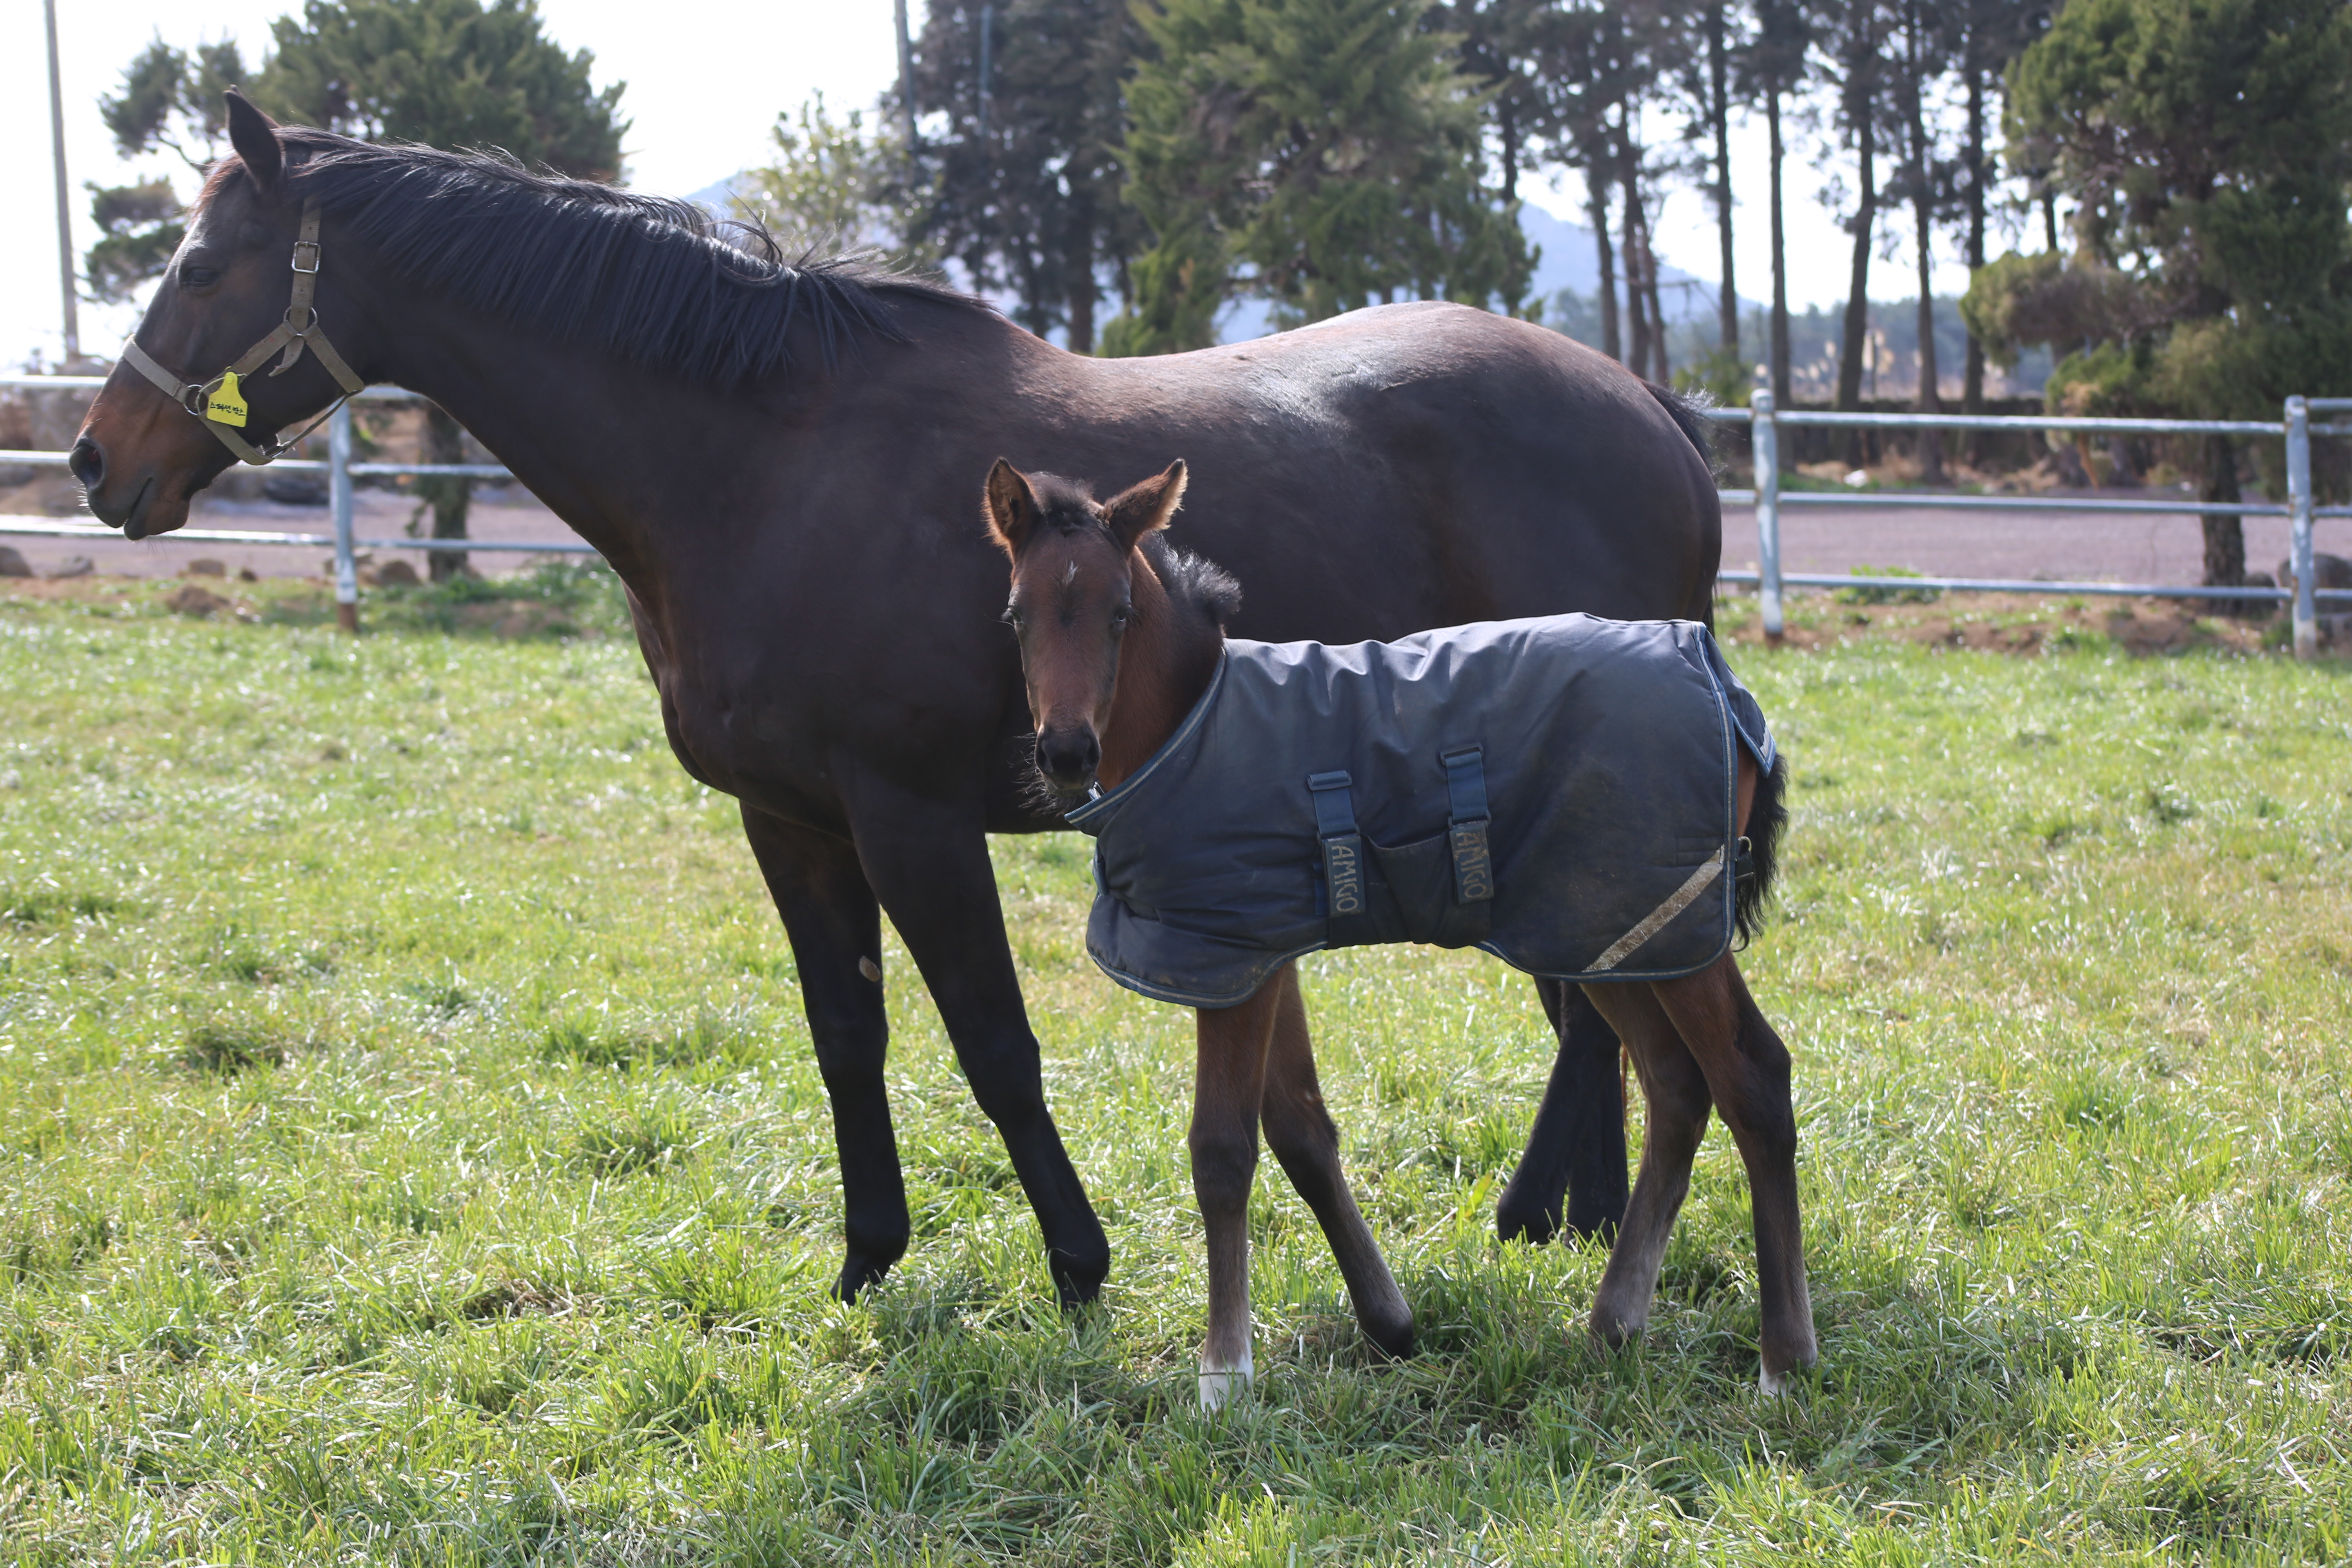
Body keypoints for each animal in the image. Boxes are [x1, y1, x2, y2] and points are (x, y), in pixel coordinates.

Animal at [74, 92, 1731, 1307]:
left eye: (203, 268)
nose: (96, 460)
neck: (760, 460)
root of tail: (1650, 405)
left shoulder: (914, 820)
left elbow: (994, 1042)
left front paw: (1077, 1265)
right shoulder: (793, 823)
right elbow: (846, 1035)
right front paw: (869, 1259)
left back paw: (1556, 1215)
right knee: (1584, 1009)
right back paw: (1563, 1218)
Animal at [983, 461, 1806, 1401]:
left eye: (1120, 611)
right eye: (1017, 614)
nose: (1065, 754)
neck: (1193, 726)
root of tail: (1729, 694)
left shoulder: (1227, 957)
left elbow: (1223, 1149)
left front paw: (1224, 1374)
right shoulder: (1263, 955)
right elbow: (1301, 1127)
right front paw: (1388, 1321)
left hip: (1663, 925)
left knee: (1751, 1076)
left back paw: (1784, 1361)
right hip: (1616, 929)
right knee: (1677, 1085)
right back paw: (1615, 1323)